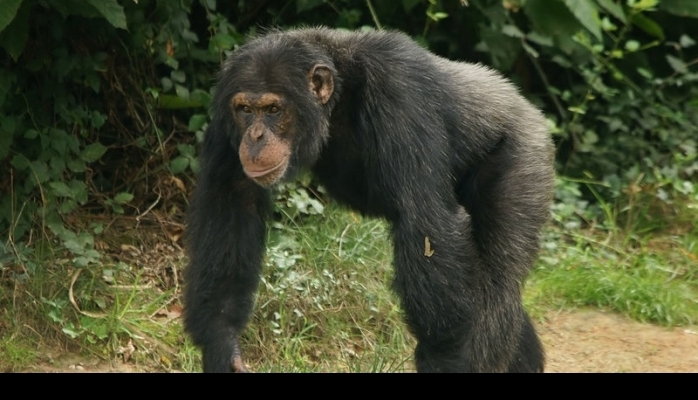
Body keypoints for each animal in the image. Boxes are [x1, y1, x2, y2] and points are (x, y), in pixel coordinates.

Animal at [184, 27, 556, 372]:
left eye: (274, 109)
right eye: (245, 109)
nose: (256, 136)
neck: (338, 98)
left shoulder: (400, 92)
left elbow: (426, 225)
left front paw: (442, 356)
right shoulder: (224, 119)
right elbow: (232, 203)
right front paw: (223, 346)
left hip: (524, 158)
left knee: (498, 285)